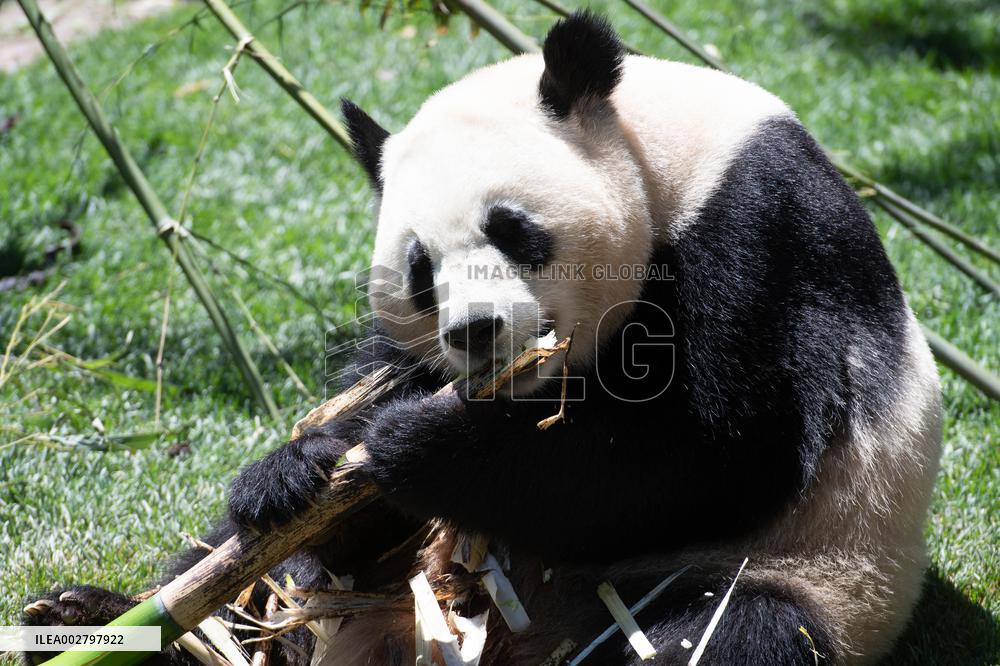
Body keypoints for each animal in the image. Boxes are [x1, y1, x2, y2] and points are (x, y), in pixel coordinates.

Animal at [25, 12, 942, 666]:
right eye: (420, 270)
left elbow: (719, 450)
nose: (475, 331)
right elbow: (357, 432)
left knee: (726, 634)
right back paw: (93, 618)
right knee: (244, 578)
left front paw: (417, 446)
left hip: (809, 572)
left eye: (513, 229)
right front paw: (302, 466)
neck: (656, 149)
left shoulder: (755, 224)